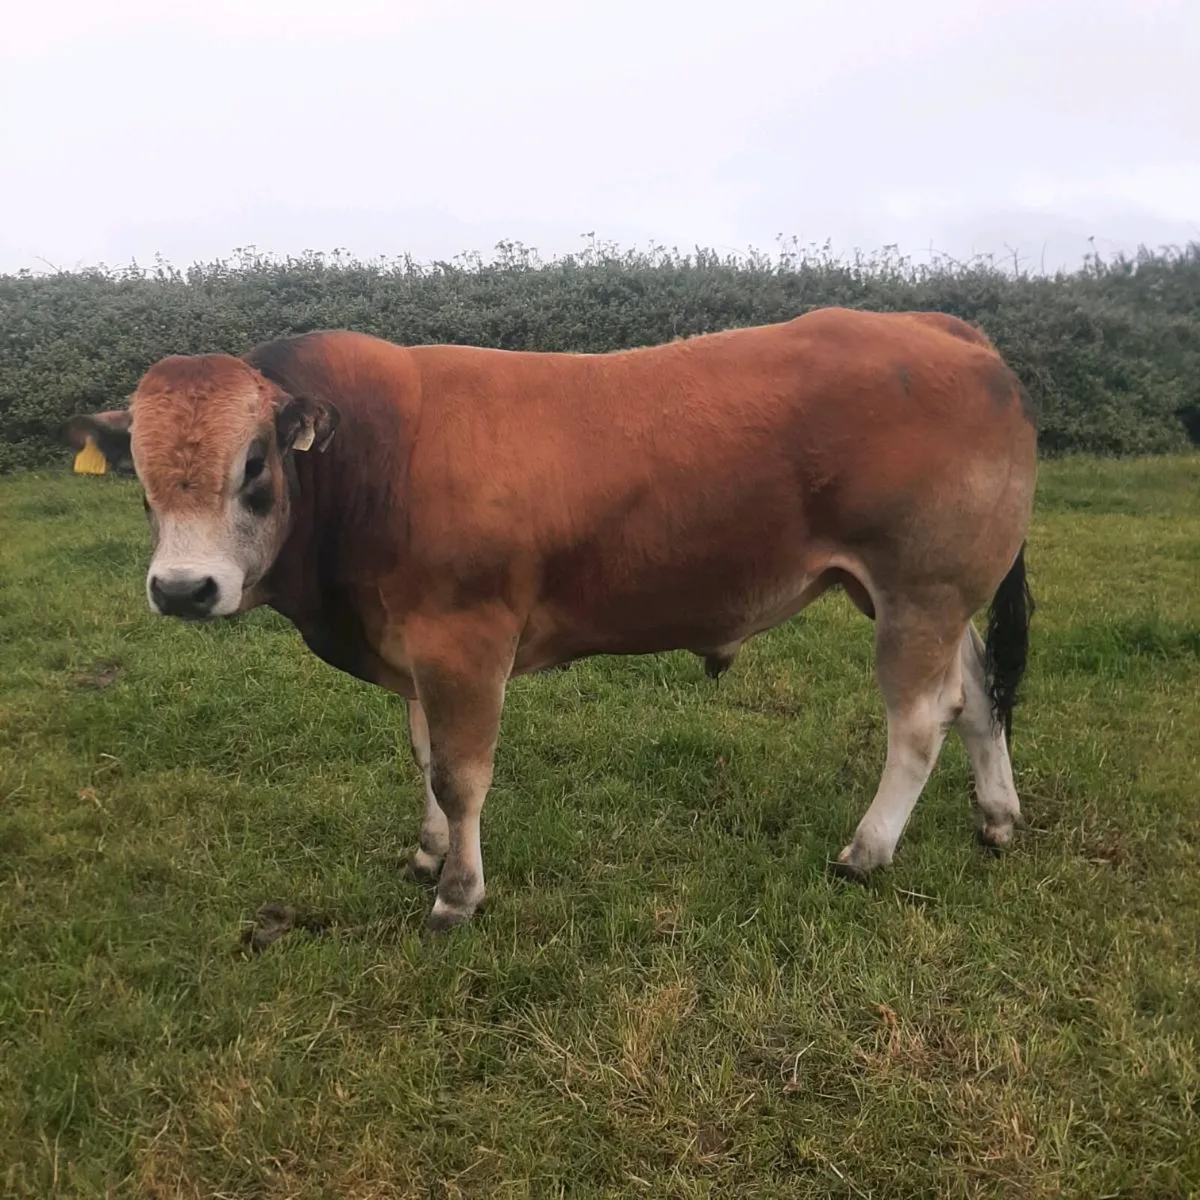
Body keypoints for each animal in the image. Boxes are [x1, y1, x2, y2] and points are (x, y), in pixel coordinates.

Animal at [65, 308, 1037, 933]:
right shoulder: (416, 648)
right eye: (140, 474)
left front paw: (457, 894)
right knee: (981, 692)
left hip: (918, 588)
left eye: (256, 463)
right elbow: (424, 757)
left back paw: (867, 851)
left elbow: (460, 774)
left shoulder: (464, 641)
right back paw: (997, 818)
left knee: (921, 720)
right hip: (932, 595)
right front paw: (428, 852)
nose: (183, 589)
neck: (377, 457)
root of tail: (943, 327)